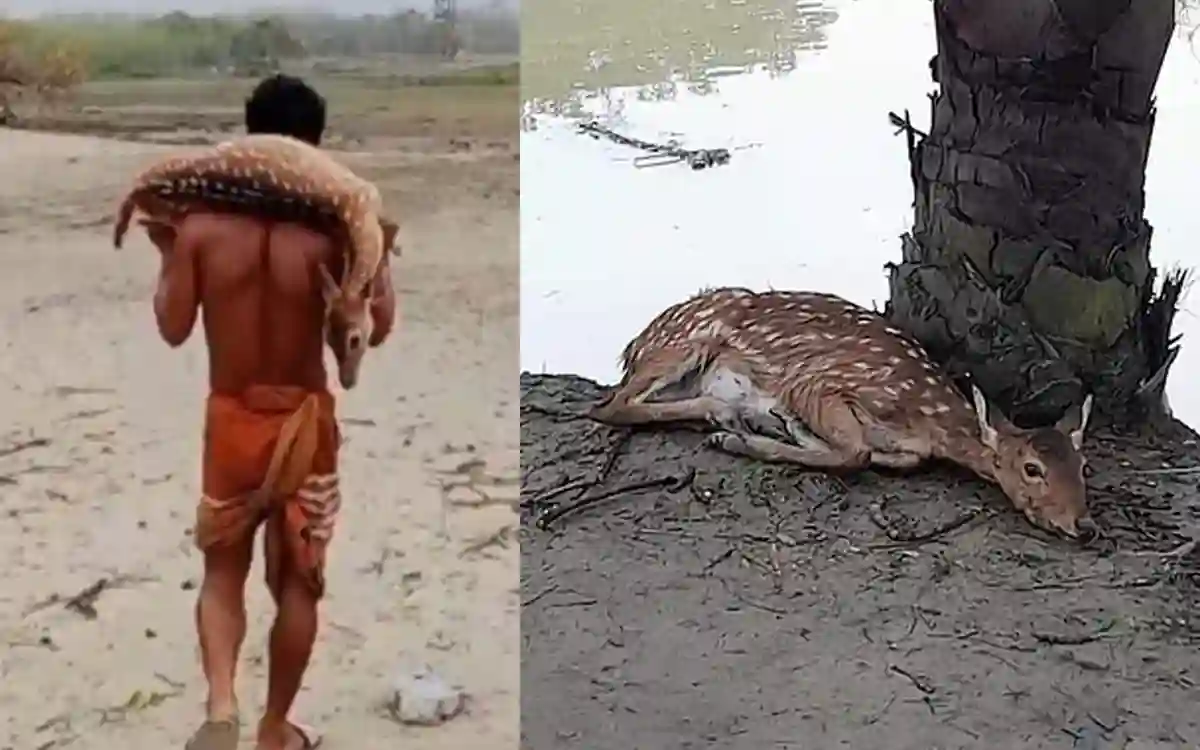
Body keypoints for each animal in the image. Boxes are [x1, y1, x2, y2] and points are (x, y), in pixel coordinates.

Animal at [588, 287, 1097, 541]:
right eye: (1031, 468)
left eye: (1083, 466)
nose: (1084, 526)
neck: (927, 418)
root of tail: (634, 342)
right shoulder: (818, 384)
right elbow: (854, 454)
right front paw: (747, 437)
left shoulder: (904, 449)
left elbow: (871, 455)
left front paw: (784, 428)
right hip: (688, 338)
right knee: (613, 406)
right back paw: (722, 416)